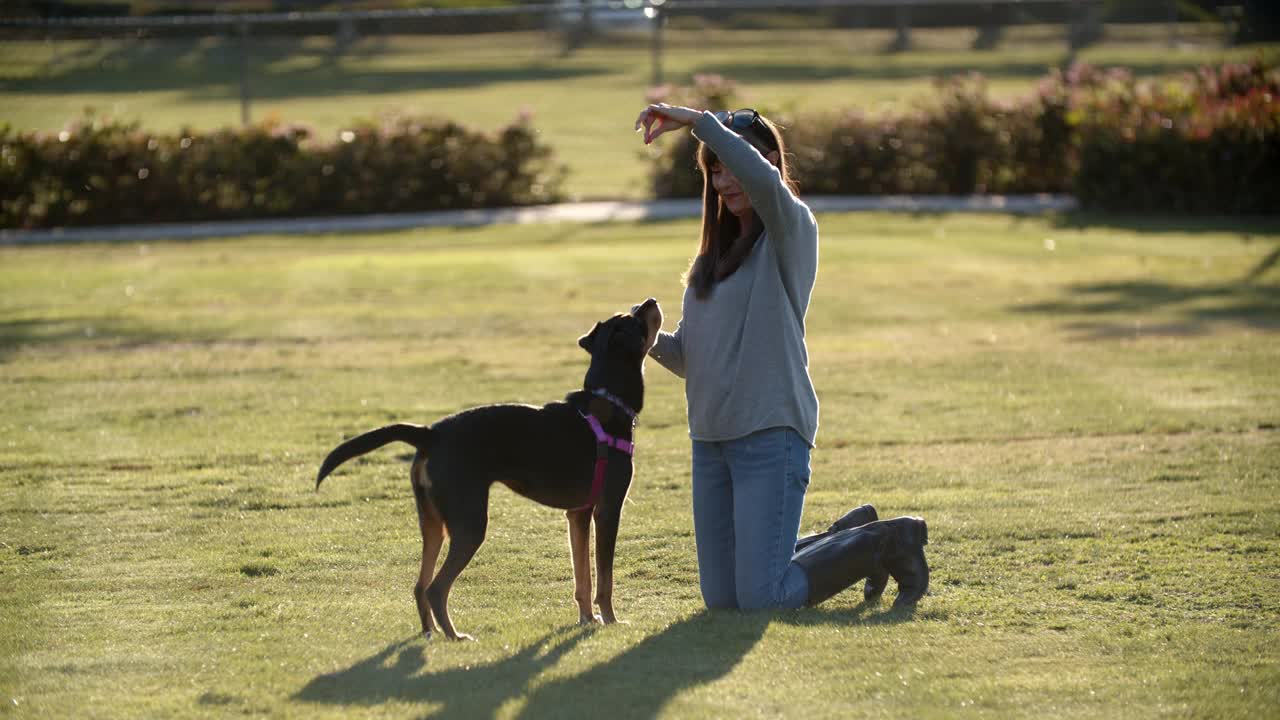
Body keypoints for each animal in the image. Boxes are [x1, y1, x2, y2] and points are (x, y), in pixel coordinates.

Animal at [314, 297, 665, 638]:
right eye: (635, 319)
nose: (650, 300)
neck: (608, 399)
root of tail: (430, 433)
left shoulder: (577, 514)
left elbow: (583, 579)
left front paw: (588, 619)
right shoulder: (608, 509)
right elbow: (604, 580)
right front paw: (611, 620)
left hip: (433, 522)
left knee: (420, 586)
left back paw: (430, 633)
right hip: (469, 523)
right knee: (436, 588)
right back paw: (455, 636)